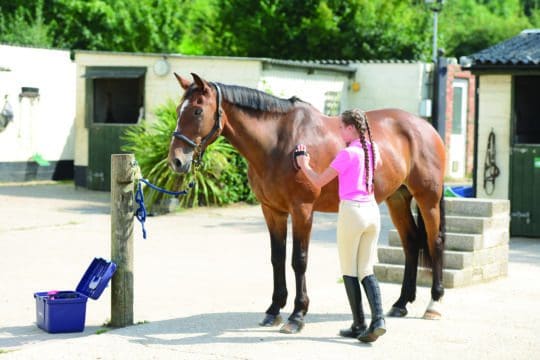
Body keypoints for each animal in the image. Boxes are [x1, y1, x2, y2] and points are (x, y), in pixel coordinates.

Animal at [169, 73, 448, 334]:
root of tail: (426, 127)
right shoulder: (272, 211)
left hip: (427, 199)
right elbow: (277, 258)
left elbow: (299, 259)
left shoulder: (302, 209)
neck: (278, 142)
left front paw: (297, 315)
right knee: (411, 242)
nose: (176, 161)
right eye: (178, 109)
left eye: (197, 110)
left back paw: (434, 303)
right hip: (397, 198)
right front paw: (273, 310)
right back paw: (401, 303)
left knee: (434, 242)